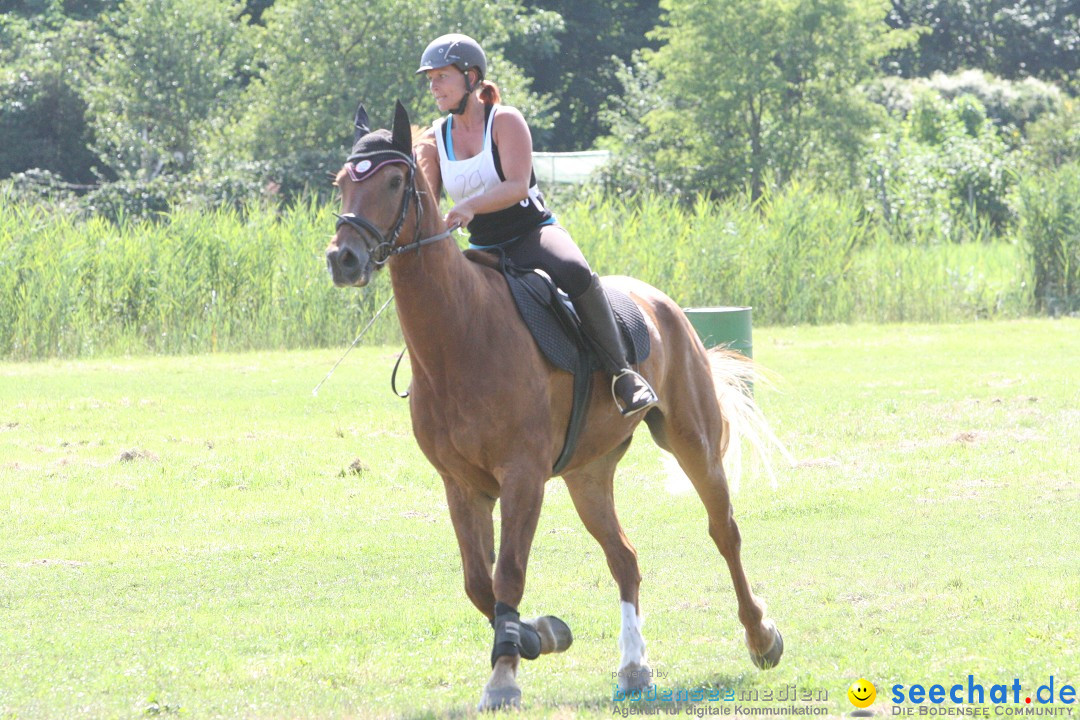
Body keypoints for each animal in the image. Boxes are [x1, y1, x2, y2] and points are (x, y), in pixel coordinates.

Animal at [321, 99, 786, 708]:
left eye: (395, 181)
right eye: (341, 184)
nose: (344, 259)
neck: (458, 335)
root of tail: (661, 303)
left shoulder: (523, 477)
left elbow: (508, 574)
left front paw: (503, 677)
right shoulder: (461, 485)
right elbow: (480, 583)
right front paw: (538, 634)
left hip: (692, 441)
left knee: (723, 531)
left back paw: (761, 637)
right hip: (588, 474)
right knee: (624, 558)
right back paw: (633, 667)